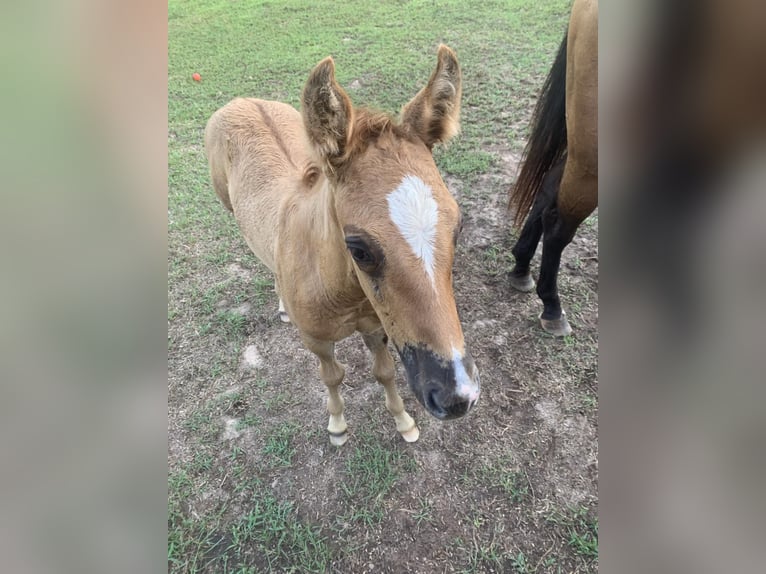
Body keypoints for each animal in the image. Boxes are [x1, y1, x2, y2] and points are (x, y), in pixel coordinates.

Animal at [204, 47, 480, 448]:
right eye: (359, 250)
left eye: (457, 227)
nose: (457, 396)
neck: (341, 292)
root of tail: (241, 101)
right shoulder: (315, 340)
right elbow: (332, 376)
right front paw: (337, 425)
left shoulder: (375, 327)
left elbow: (385, 372)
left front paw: (404, 422)